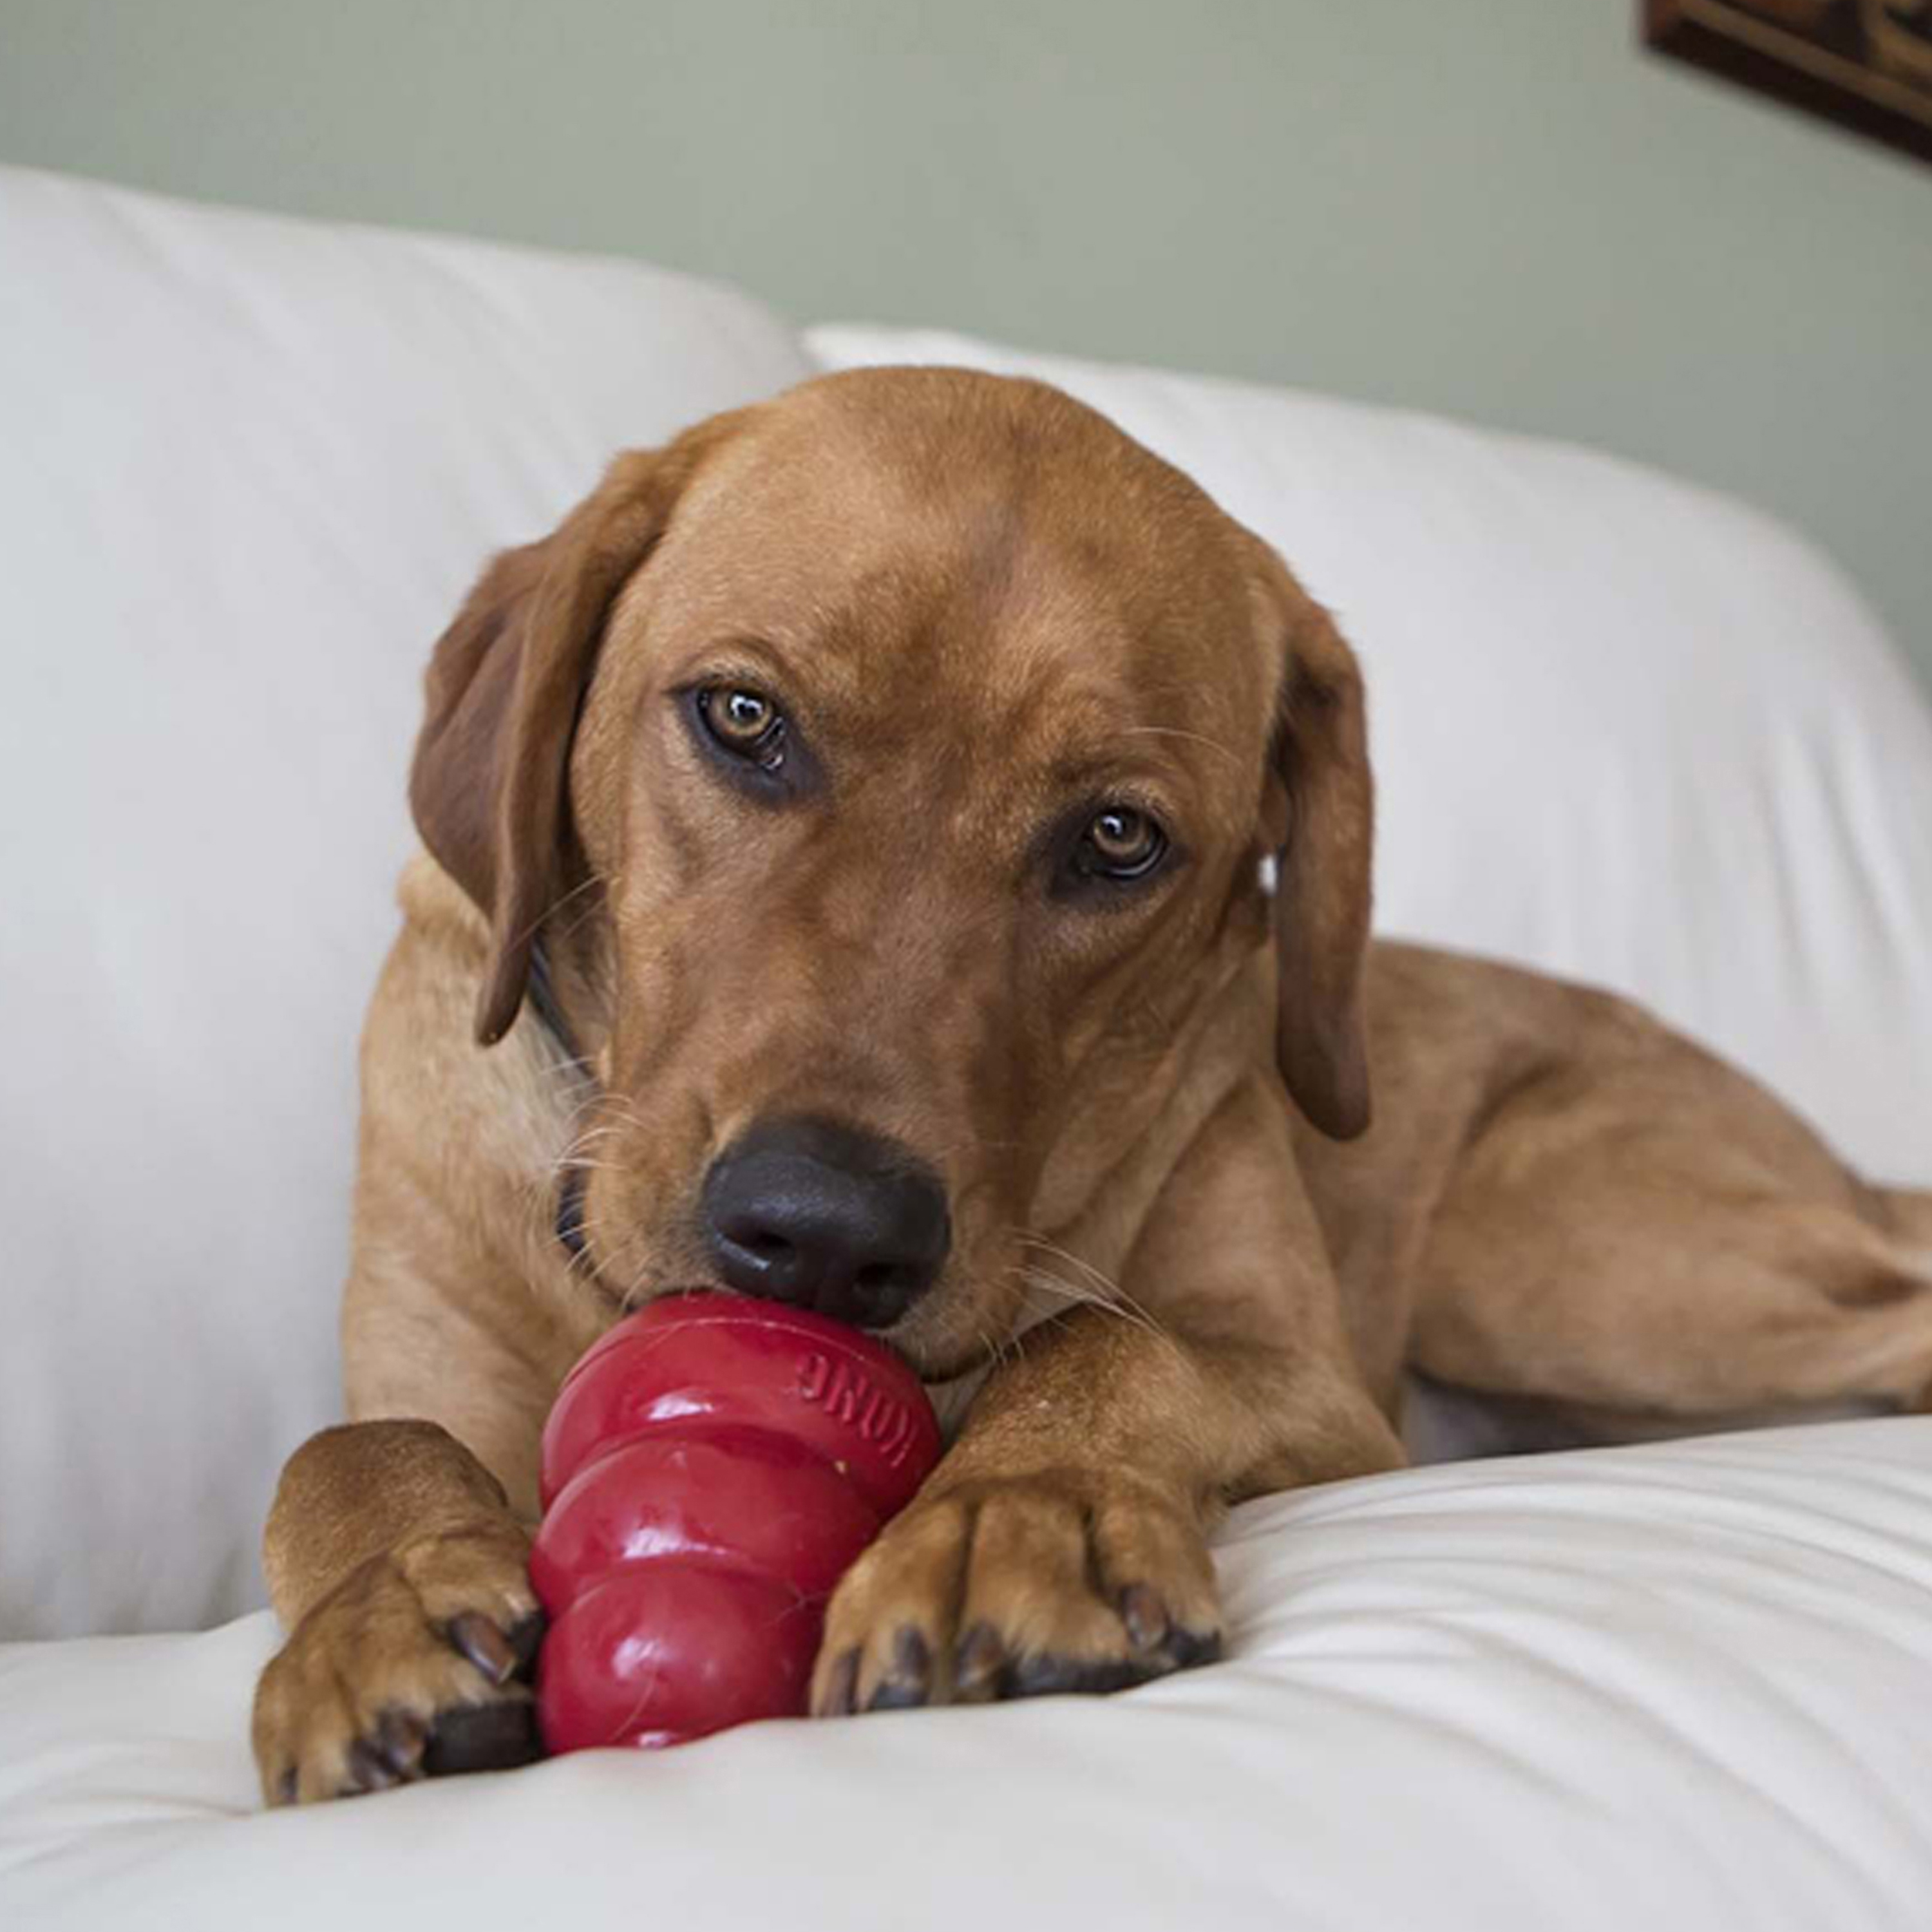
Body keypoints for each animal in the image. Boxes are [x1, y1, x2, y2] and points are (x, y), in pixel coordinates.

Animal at [253, 369, 1932, 1801]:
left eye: (1117, 838)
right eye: (743, 719)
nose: (824, 1233)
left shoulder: (1321, 1387)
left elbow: (1102, 1337)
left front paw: (1017, 1510)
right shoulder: (432, 1379)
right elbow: (352, 1445)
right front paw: (376, 1603)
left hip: (1542, 1253)